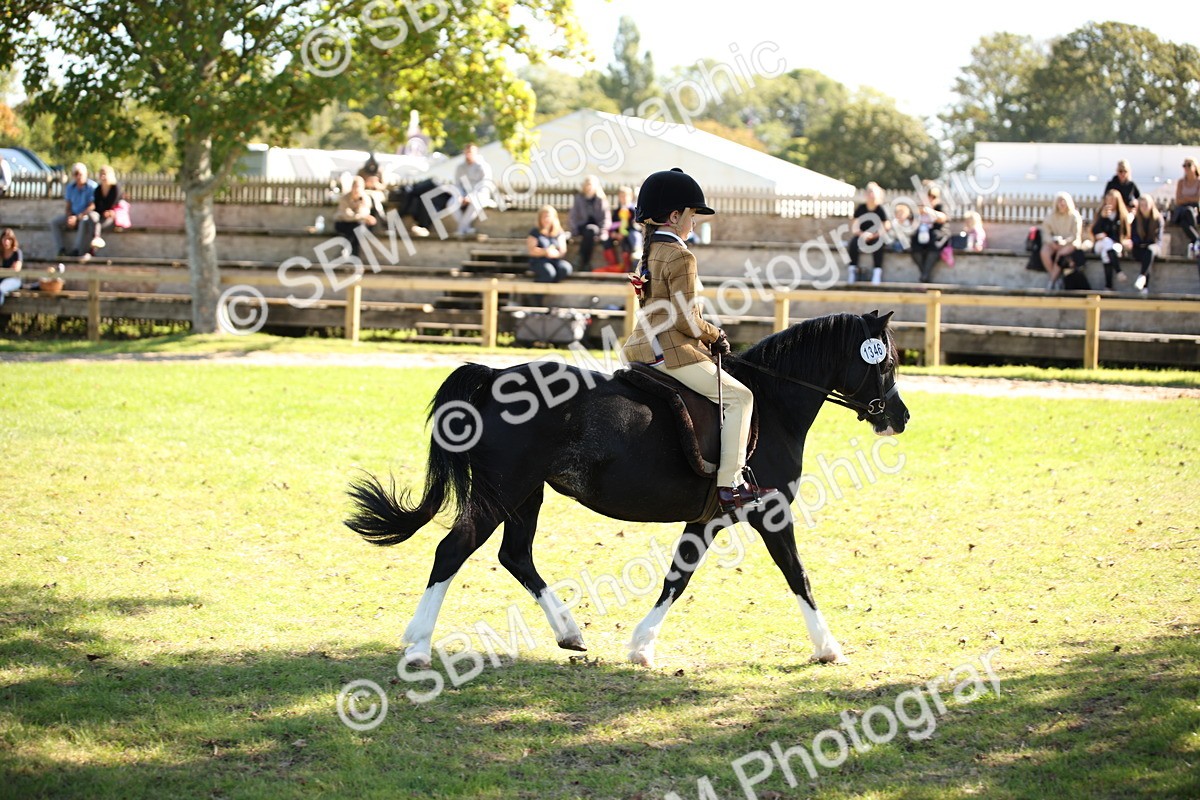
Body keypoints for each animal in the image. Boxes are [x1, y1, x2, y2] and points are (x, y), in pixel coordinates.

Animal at [345, 310, 910, 668]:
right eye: (886, 363)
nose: (900, 418)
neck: (771, 403)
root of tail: (492, 377)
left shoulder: (706, 518)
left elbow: (677, 577)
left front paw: (641, 646)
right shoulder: (772, 512)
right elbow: (798, 576)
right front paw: (828, 648)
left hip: (527, 495)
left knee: (516, 556)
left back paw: (569, 633)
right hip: (503, 493)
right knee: (452, 550)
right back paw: (419, 646)